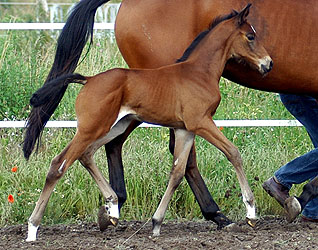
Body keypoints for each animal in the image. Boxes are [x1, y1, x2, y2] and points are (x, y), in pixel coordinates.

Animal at [26, 4, 272, 241]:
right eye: (250, 36)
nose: (268, 64)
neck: (199, 72)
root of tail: (89, 79)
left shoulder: (184, 130)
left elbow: (177, 172)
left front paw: (156, 223)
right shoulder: (201, 122)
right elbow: (233, 152)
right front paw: (251, 212)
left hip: (114, 127)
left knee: (86, 155)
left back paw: (112, 207)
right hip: (91, 128)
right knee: (59, 164)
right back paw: (33, 228)